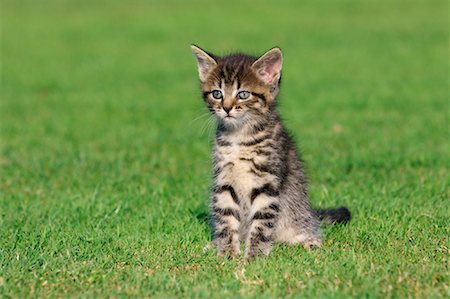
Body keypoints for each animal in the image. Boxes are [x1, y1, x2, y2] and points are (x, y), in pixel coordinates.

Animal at [191, 45, 352, 260]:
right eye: (217, 93)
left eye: (243, 94)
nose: (226, 108)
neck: (240, 136)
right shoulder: (224, 180)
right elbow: (225, 217)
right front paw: (227, 253)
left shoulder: (267, 183)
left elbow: (261, 223)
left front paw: (254, 257)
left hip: (297, 212)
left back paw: (311, 242)